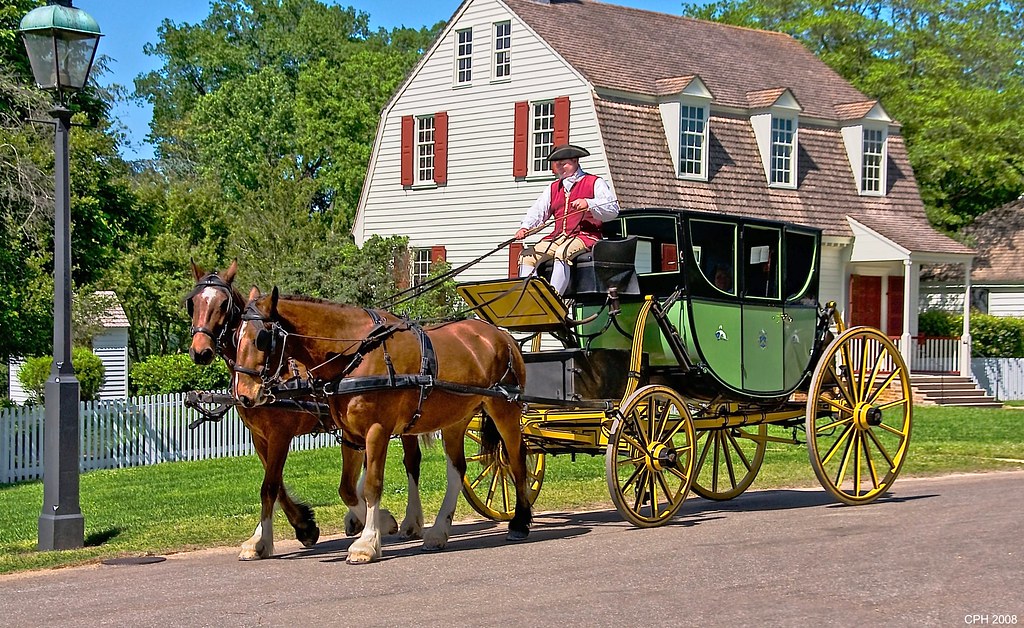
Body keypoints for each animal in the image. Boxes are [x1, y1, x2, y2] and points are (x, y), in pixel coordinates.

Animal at [186, 261, 425, 559]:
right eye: (192, 303)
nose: (200, 351)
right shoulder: (259, 437)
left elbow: (270, 486)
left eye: (222, 304)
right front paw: (290, 528)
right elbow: (275, 486)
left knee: (412, 462)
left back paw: (411, 520)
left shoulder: (280, 434)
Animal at [232, 287, 532, 563]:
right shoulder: (351, 433)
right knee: (457, 470)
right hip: (455, 420)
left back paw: (520, 521)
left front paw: (368, 542)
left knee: (516, 458)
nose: (244, 395)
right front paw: (379, 523)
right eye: (236, 336)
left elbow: (371, 485)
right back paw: (438, 532)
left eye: (261, 339)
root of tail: (503, 336)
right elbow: (346, 489)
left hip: (504, 409)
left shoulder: (376, 429)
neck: (356, 353)